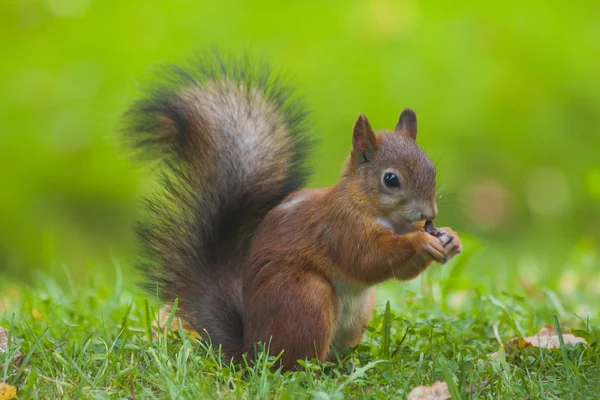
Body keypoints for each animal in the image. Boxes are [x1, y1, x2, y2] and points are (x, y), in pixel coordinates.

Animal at [126, 50, 462, 372]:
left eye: (431, 169)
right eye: (391, 180)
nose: (429, 213)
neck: (374, 210)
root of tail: (251, 350)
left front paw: (450, 238)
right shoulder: (339, 228)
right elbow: (367, 260)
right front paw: (420, 241)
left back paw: (344, 364)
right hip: (305, 298)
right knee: (292, 364)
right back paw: (316, 371)